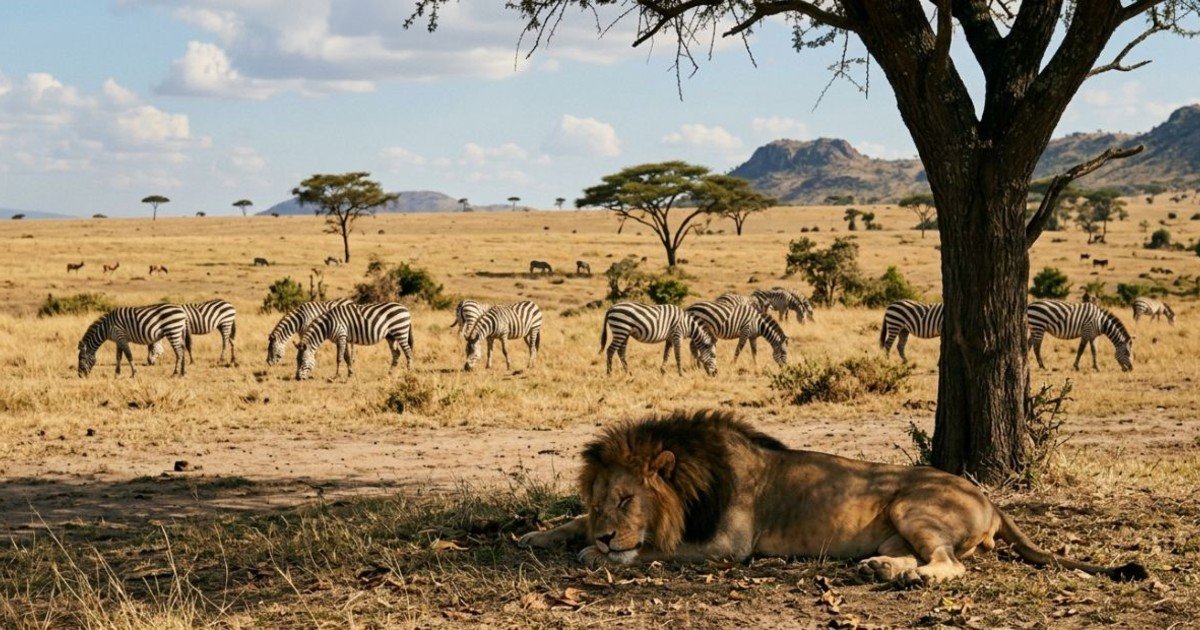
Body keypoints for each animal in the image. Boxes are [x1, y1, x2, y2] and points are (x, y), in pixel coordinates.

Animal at [518, 410, 1147, 585]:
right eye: (600, 500)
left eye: (627, 500)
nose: (607, 532)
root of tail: (990, 497)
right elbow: (565, 524)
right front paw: (538, 534)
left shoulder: (726, 546)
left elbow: (651, 550)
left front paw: (595, 552)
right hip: (897, 526)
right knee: (921, 555)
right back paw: (882, 569)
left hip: (912, 504)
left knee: (949, 564)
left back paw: (913, 578)